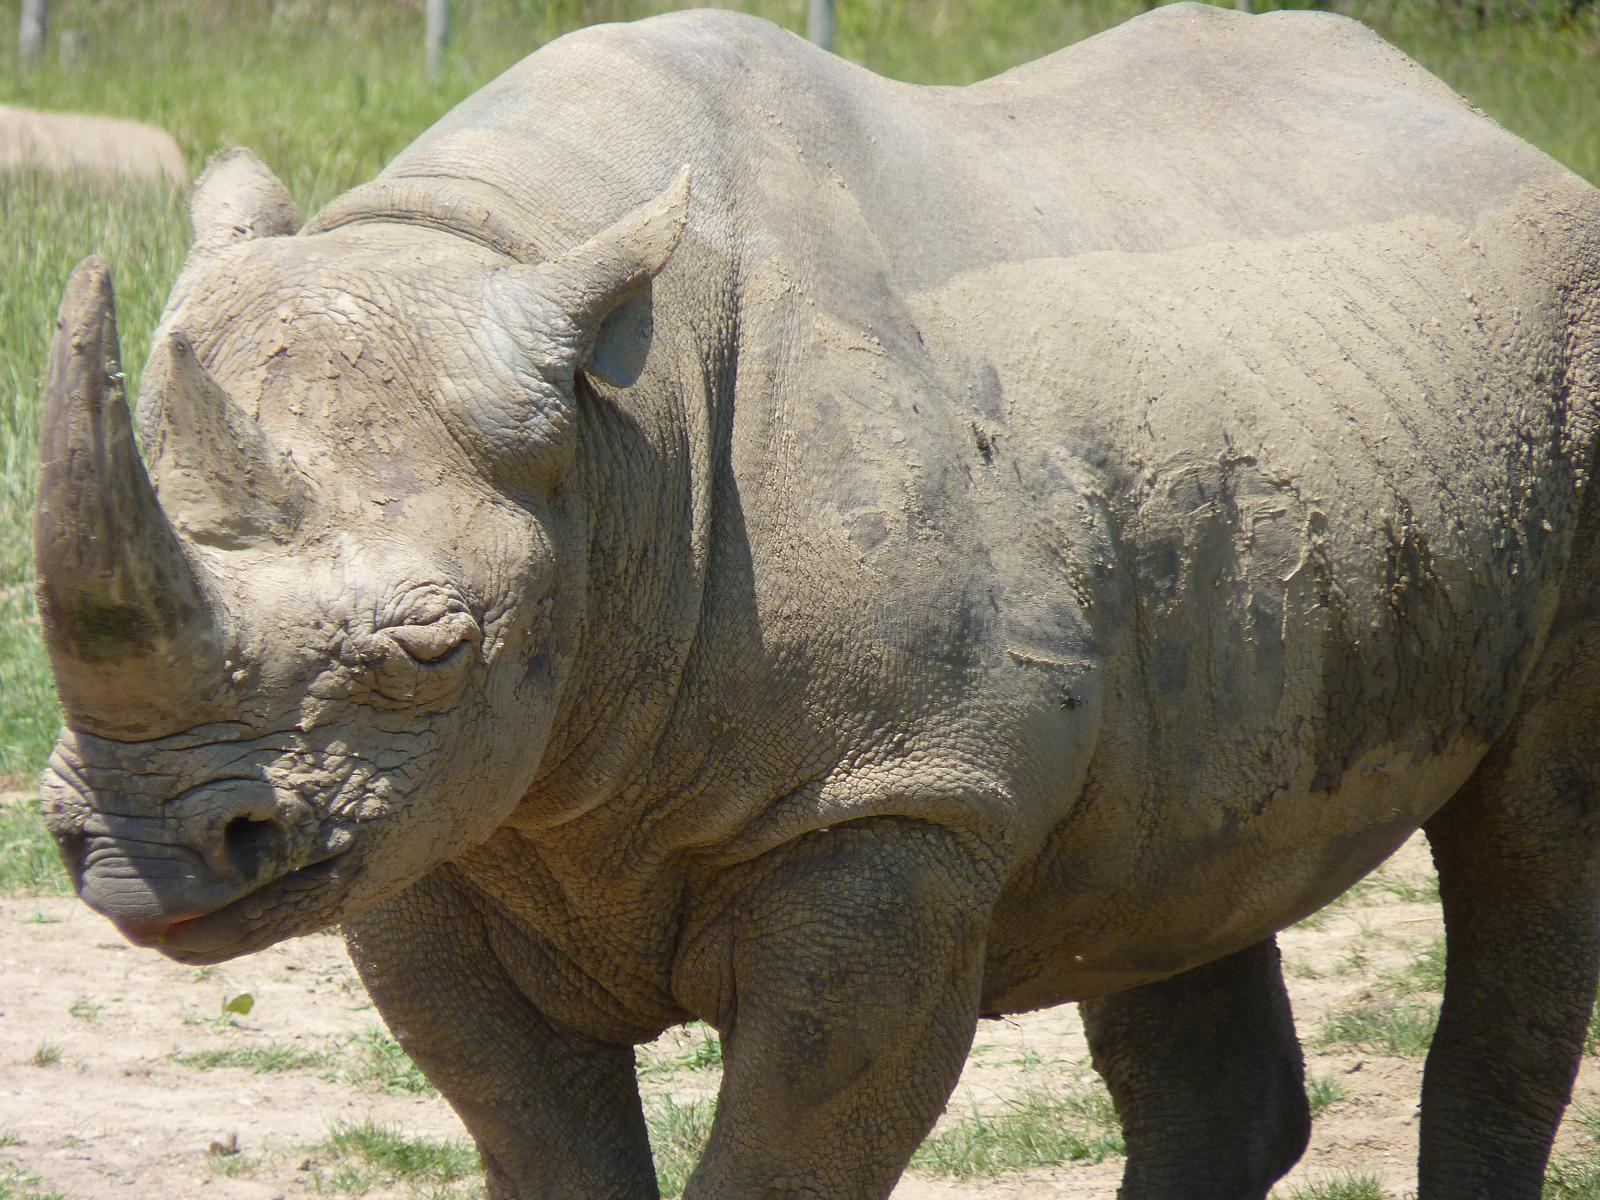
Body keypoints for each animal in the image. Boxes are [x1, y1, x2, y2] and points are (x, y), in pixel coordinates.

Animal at [33, 4, 1600, 1197]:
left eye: (434, 647)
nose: (137, 857)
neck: (612, 439)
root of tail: (1491, 128)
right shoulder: (425, 826)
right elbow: (539, 1138)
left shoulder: (900, 801)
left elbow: (789, 1149)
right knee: (1186, 857)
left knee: (1533, 836)